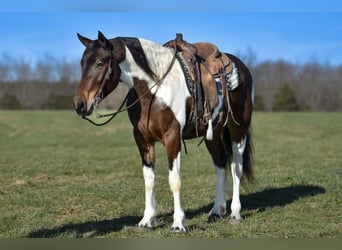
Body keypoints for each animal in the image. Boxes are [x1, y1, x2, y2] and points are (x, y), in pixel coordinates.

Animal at [73, 31, 255, 232]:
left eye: (100, 62)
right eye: (82, 63)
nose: (80, 104)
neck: (155, 90)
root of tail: (241, 67)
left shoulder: (172, 137)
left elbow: (174, 180)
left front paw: (178, 223)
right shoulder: (142, 139)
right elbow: (149, 179)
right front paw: (147, 220)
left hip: (238, 130)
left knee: (236, 167)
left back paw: (235, 213)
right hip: (212, 134)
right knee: (221, 164)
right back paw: (217, 211)